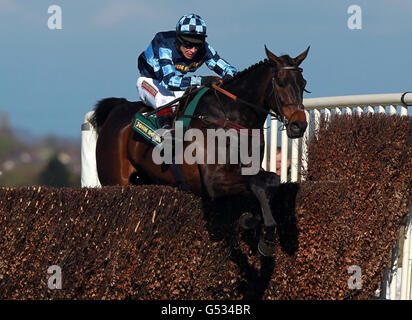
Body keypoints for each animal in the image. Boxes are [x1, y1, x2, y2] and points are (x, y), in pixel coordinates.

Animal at [91, 45, 308, 255]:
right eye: (280, 83)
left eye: (303, 84)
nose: (299, 125)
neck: (231, 117)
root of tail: (118, 108)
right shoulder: (214, 181)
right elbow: (257, 183)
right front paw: (262, 230)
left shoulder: (250, 170)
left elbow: (269, 181)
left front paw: (255, 223)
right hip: (115, 180)